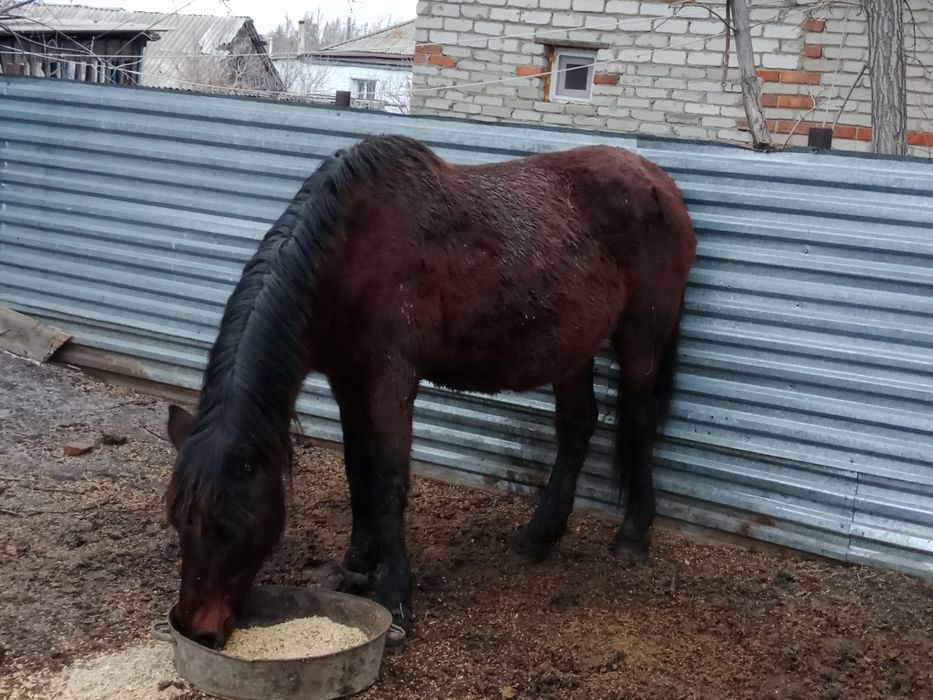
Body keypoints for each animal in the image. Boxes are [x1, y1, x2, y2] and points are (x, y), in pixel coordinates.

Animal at [164, 134, 696, 649]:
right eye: (177, 520)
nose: (196, 631)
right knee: (577, 425)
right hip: (572, 343)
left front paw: (396, 600)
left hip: (640, 339)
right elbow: (358, 469)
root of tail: (660, 182)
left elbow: (389, 479)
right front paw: (356, 564)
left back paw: (633, 535)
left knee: (639, 421)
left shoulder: (391, 377)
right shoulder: (345, 378)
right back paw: (538, 537)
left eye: (229, 526)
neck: (347, 252)